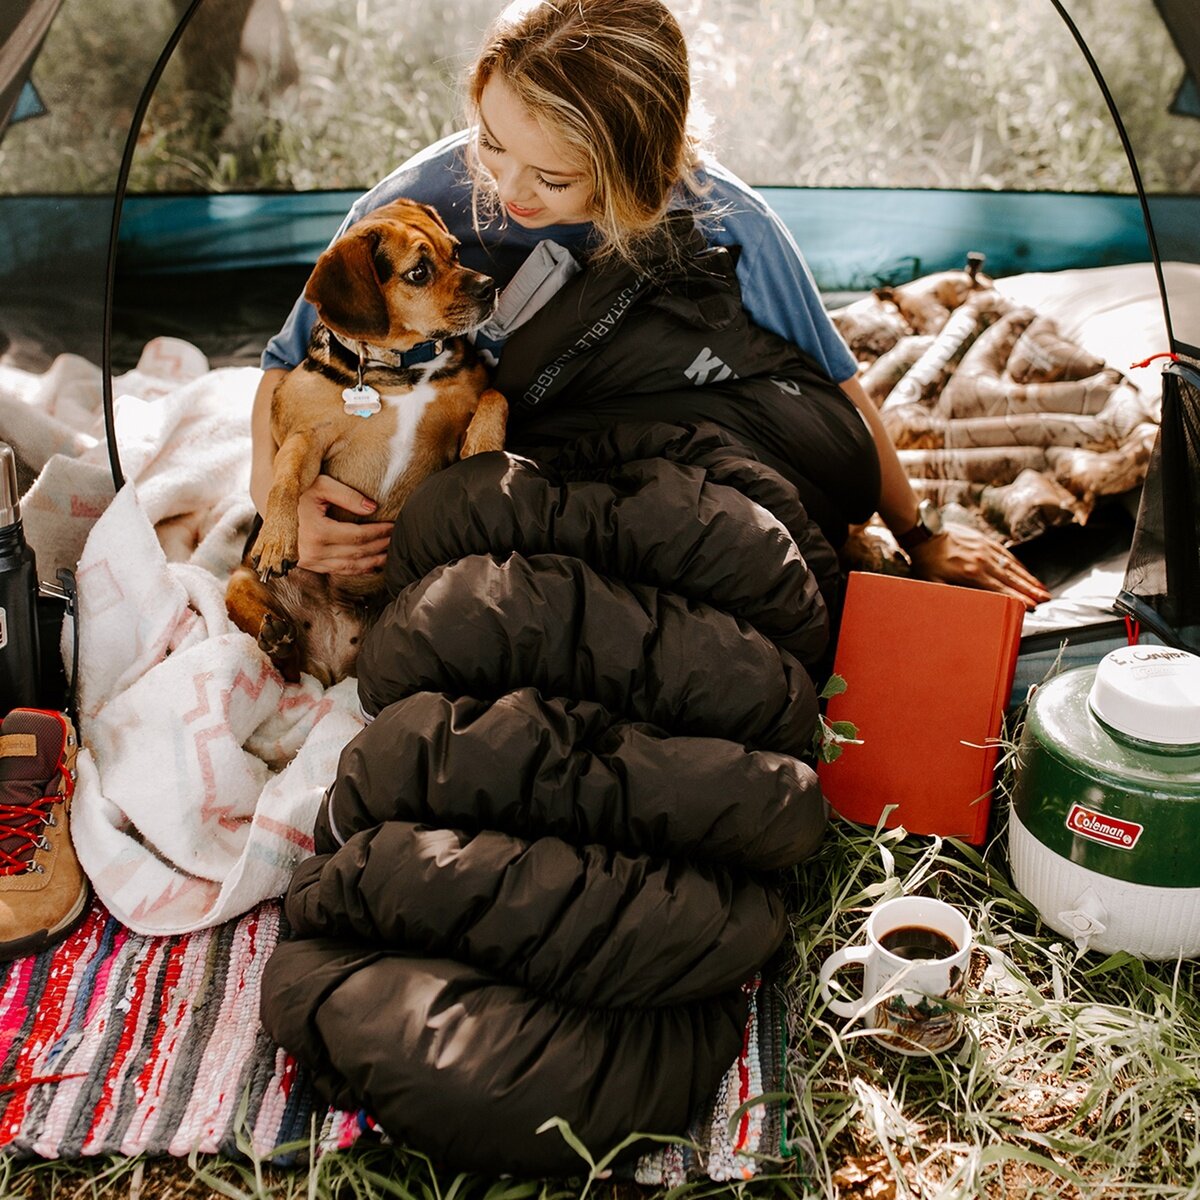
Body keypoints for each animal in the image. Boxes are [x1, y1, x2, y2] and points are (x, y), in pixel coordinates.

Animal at [225, 198, 506, 686]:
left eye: (455, 251)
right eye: (418, 272)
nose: (490, 286)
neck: (402, 368)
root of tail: (331, 662)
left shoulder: (459, 418)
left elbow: (495, 395)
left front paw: (485, 442)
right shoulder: (305, 437)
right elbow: (284, 479)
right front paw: (278, 539)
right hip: (237, 582)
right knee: (278, 661)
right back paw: (276, 638)